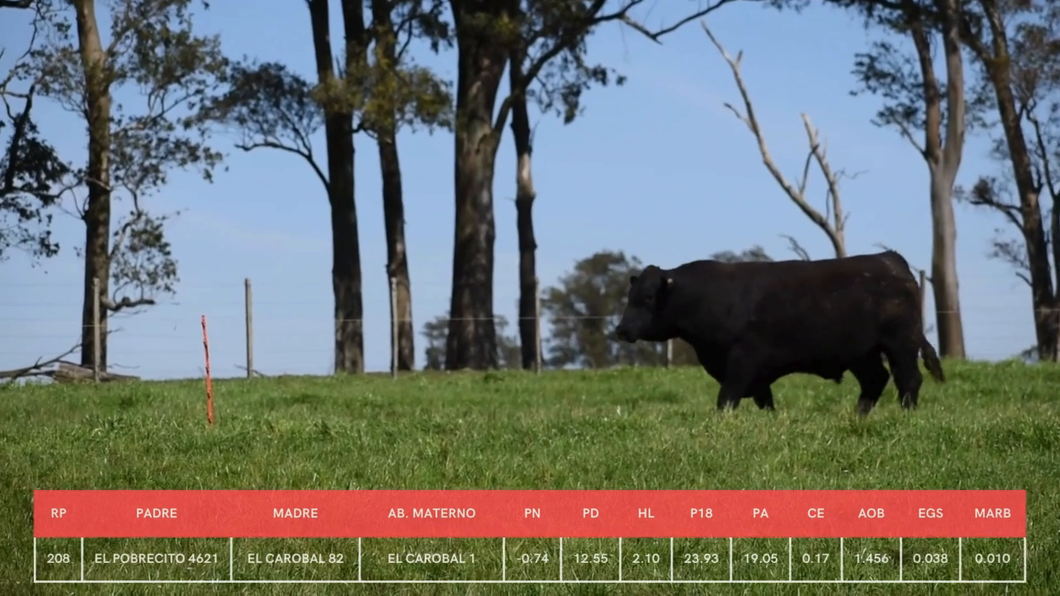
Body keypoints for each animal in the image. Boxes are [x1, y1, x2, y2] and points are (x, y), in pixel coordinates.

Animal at [614, 249, 945, 413]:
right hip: (862, 353)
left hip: (901, 343)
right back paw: (858, 415)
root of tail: (890, 258)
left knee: (908, 380)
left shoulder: (743, 359)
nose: (621, 329)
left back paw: (906, 414)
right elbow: (765, 401)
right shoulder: (755, 372)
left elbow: (727, 398)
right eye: (630, 298)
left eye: (647, 299)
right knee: (875, 380)